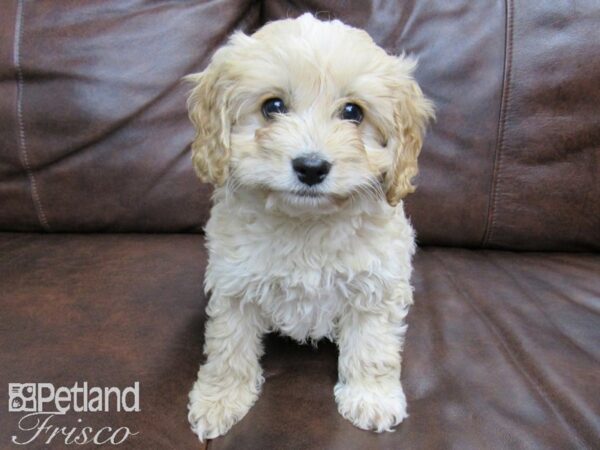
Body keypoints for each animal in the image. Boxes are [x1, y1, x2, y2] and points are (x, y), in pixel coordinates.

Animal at [185, 13, 434, 440]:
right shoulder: (234, 284)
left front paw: (371, 398)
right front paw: (220, 400)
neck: (306, 224)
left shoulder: (376, 285)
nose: (312, 167)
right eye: (273, 106)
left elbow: (373, 347)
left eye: (353, 112)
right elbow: (229, 345)